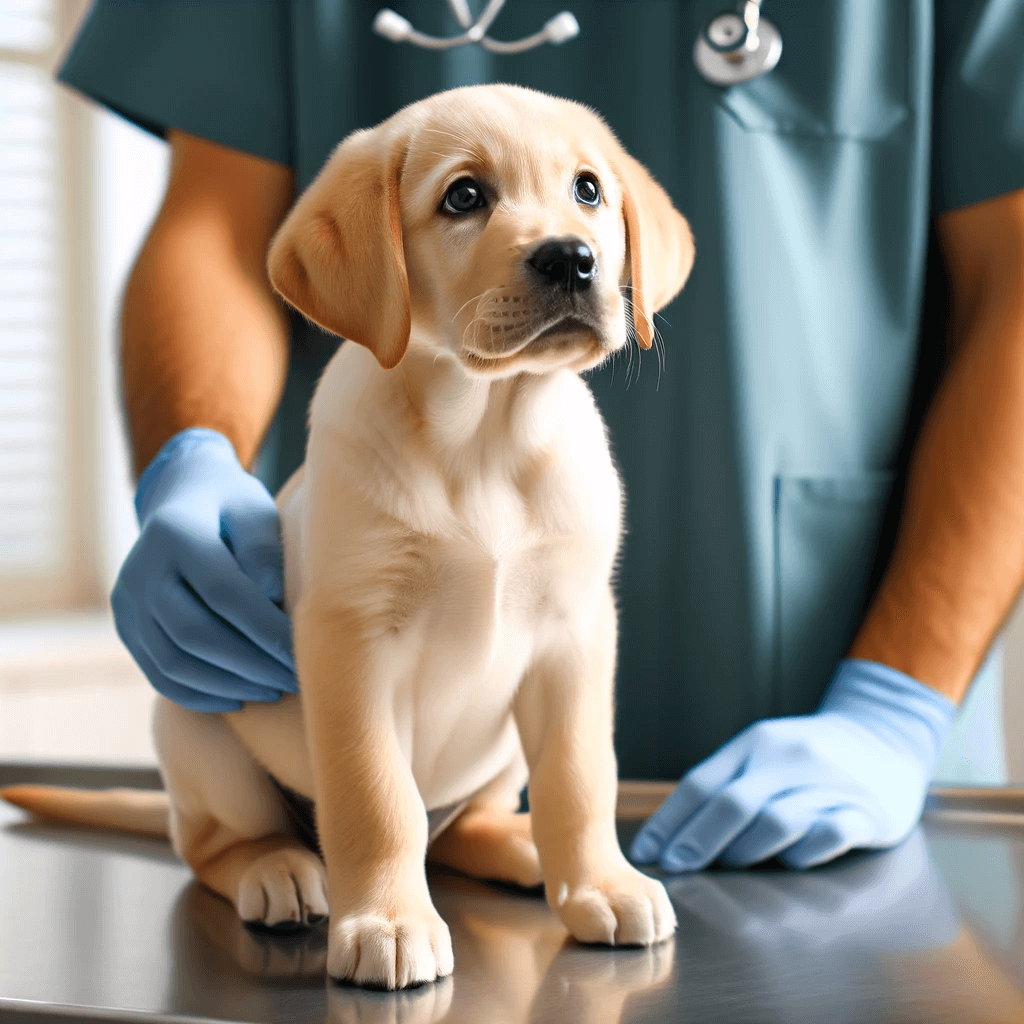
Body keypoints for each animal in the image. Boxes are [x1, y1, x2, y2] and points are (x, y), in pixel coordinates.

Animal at [4, 83, 692, 987]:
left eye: (588, 190)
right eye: (463, 197)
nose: (572, 259)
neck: (484, 435)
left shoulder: (573, 635)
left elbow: (582, 777)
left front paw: (600, 885)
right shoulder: (353, 641)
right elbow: (376, 800)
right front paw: (389, 924)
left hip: (499, 752)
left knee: (462, 826)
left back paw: (516, 848)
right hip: (194, 727)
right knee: (216, 844)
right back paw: (278, 870)